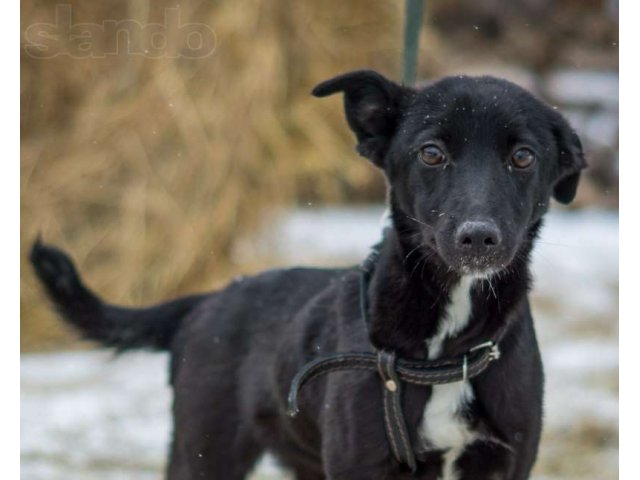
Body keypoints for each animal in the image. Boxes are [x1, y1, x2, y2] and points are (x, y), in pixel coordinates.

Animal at [30, 69, 584, 478]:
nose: (478, 237)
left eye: (522, 156)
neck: (444, 349)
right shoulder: (361, 462)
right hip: (204, 451)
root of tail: (209, 299)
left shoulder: (507, 460)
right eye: (432, 153)